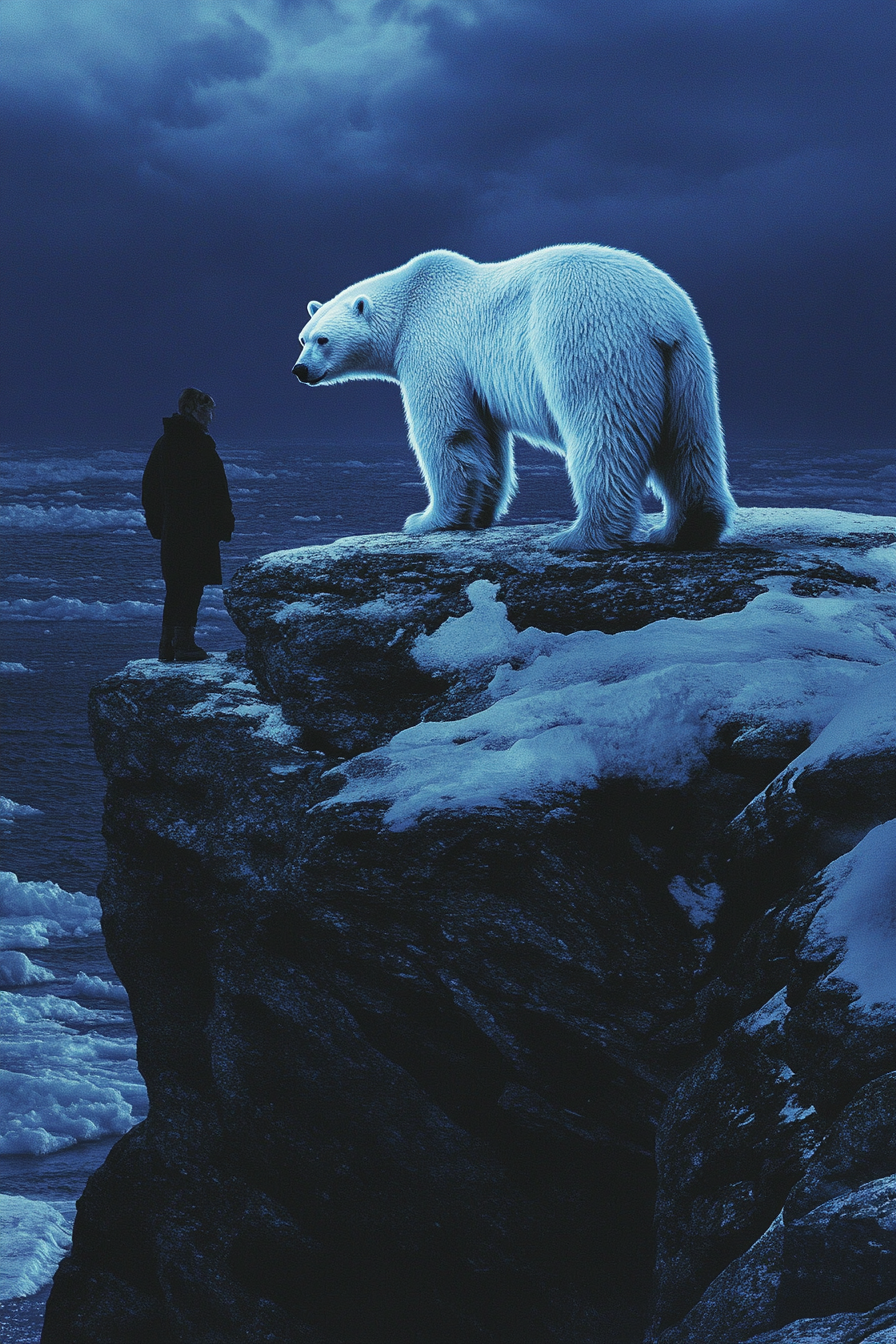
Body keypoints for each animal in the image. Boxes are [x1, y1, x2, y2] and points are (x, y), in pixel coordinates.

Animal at [294, 247, 736, 551]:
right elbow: (486, 441)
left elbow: (448, 432)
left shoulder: (432, 345)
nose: (299, 370)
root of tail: (656, 315)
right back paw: (682, 530)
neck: (410, 301)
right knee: (688, 441)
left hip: (587, 336)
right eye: (302, 337)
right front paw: (478, 515)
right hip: (687, 362)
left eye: (323, 340)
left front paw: (426, 519)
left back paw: (580, 536)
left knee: (602, 432)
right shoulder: (475, 378)